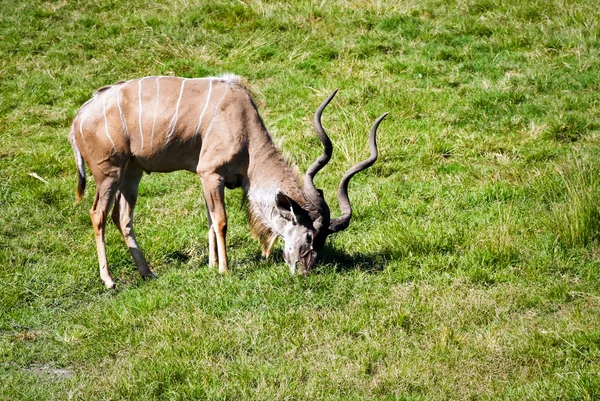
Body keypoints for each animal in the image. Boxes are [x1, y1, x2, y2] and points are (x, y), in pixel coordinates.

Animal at [69, 74, 390, 288]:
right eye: (310, 237)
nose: (305, 270)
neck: (243, 125)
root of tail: (79, 118)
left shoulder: (208, 179)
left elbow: (210, 220)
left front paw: (212, 265)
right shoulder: (210, 174)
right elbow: (221, 221)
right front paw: (224, 270)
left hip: (131, 173)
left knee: (122, 218)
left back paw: (148, 273)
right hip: (108, 173)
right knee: (97, 214)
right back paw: (109, 281)